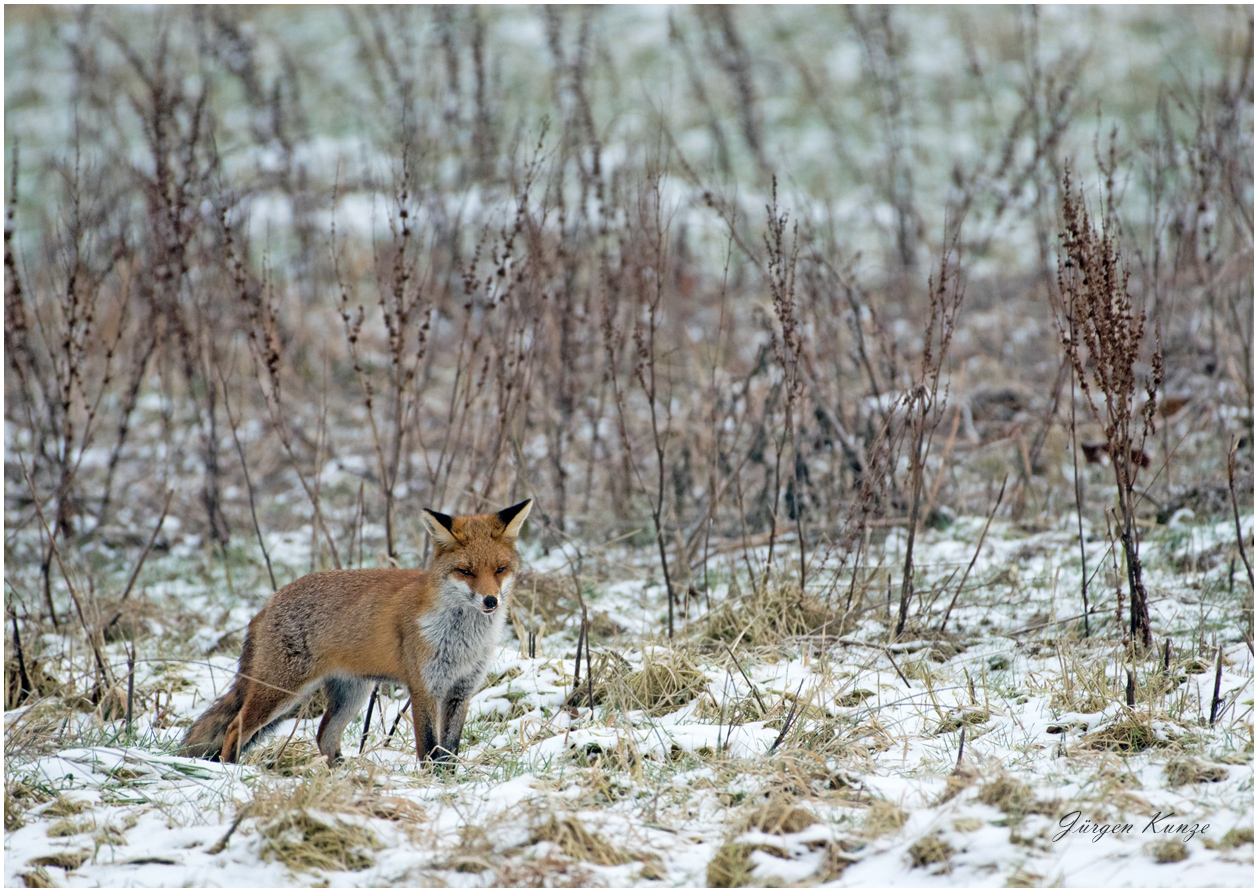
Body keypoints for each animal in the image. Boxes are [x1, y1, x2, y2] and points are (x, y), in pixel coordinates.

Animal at [180, 498, 528, 760]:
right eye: (466, 571)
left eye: (500, 569)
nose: (491, 601)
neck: (463, 641)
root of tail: (268, 602)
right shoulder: (424, 689)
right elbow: (430, 748)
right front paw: (432, 784)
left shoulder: (461, 690)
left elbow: (450, 749)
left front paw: (450, 781)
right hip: (282, 692)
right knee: (235, 728)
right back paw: (231, 772)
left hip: (352, 695)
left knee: (324, 736)